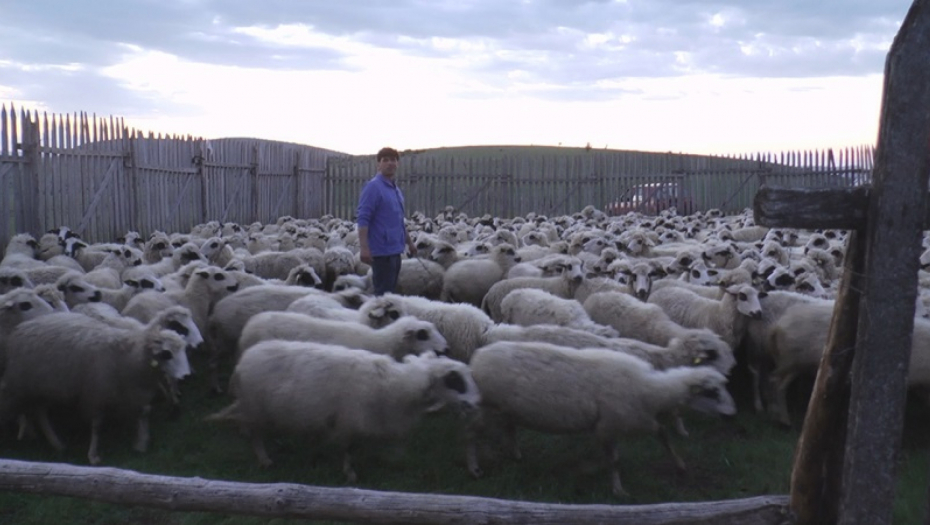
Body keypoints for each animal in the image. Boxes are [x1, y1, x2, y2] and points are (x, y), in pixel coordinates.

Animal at [0, 312, 190, 462]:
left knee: (40, 412)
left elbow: (144, 413)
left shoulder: (136, 392)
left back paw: (57, 444)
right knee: (30, 411)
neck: (132, 354)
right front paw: (93, 455)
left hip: (43, 387)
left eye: (184, 351)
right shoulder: (96, 395)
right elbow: (97, 426)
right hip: (23, 386)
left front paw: (141, 443)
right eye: (167, 354)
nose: (186, 376)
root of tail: (22, 326)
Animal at [468, 340, 736, 496]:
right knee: (474, 433)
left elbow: (663, 435)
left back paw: (516, 454)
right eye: (712, 392)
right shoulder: (608, 426)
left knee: (509, 427)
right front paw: (618, 490)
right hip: (485, 404)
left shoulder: (640, 418)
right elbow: (614, 461)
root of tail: (478, 355)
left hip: (507, 407)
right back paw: (475, 468)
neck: (650, 389)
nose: (732, 415)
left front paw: (680, 465)